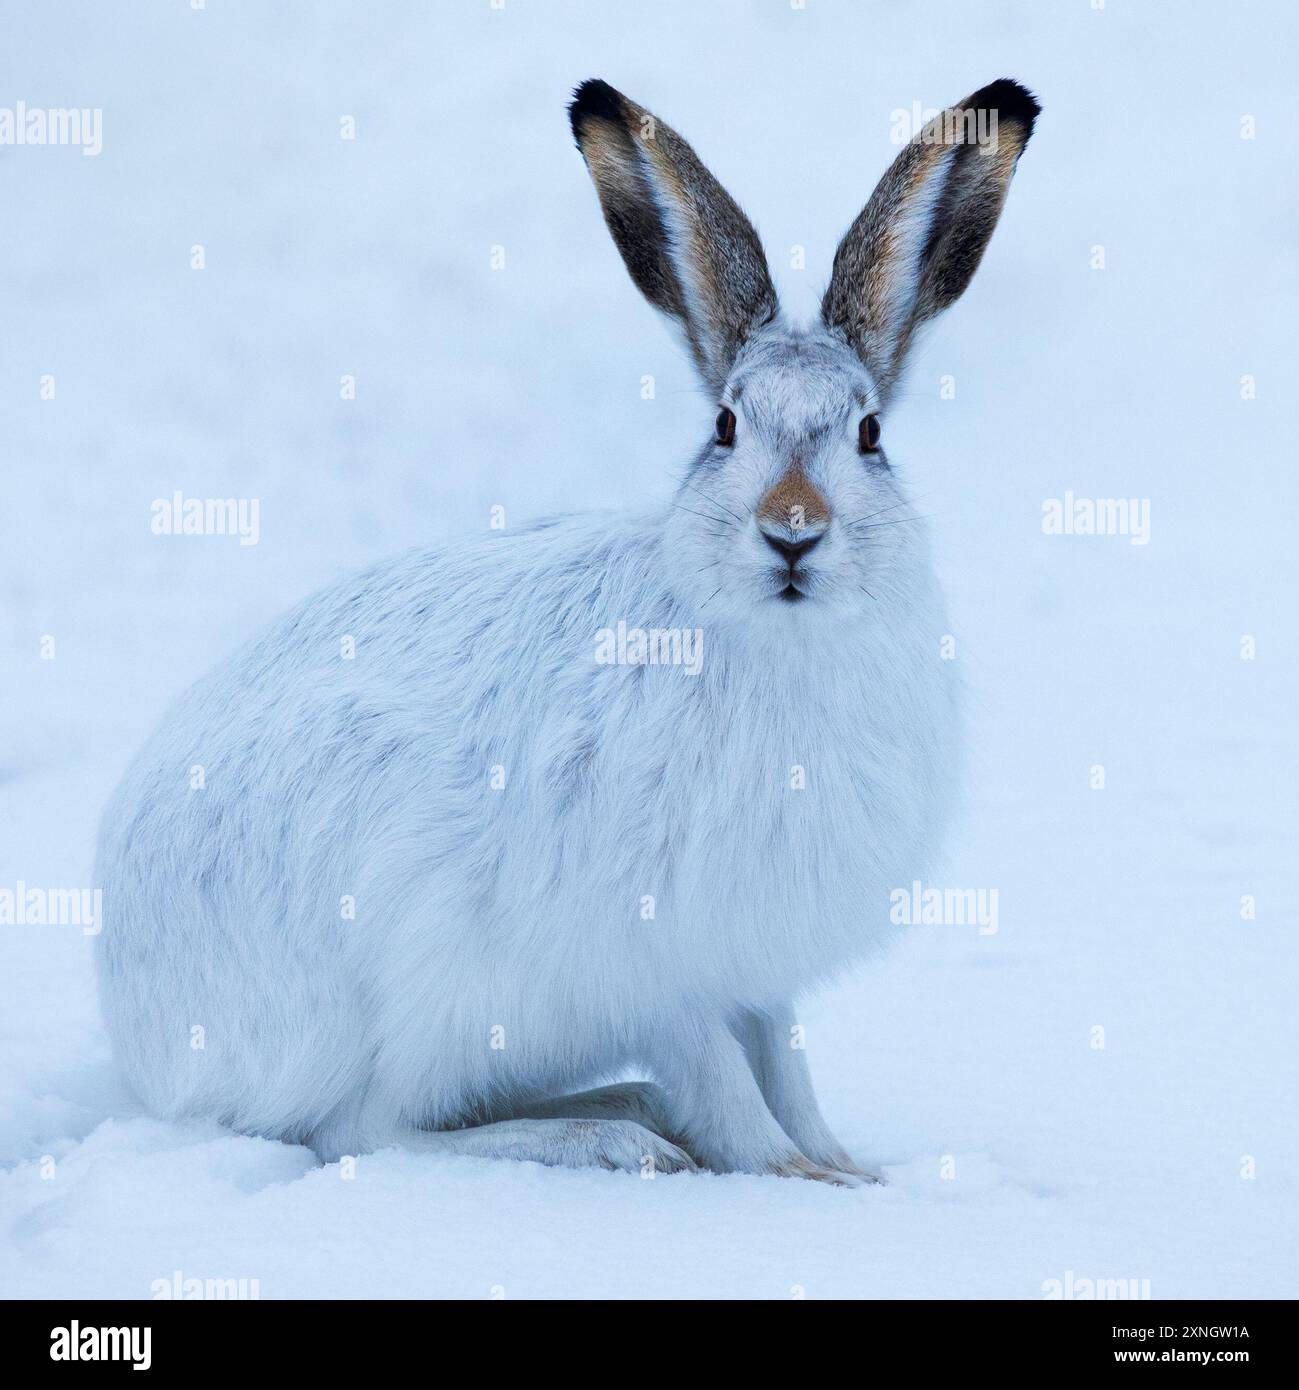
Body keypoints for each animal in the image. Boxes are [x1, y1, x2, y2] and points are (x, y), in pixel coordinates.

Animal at [95, 76, 1038, 1184]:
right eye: (725, 426)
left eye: (870, 433)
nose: (793, 532)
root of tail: (144, 1036)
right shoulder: (651, 962)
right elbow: (722, 1075)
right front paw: (786, 1175)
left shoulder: (756, 966)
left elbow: (785, 1059)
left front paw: (844, 1167)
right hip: (406, 985)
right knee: (369, 1131)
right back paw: (612, 1138)